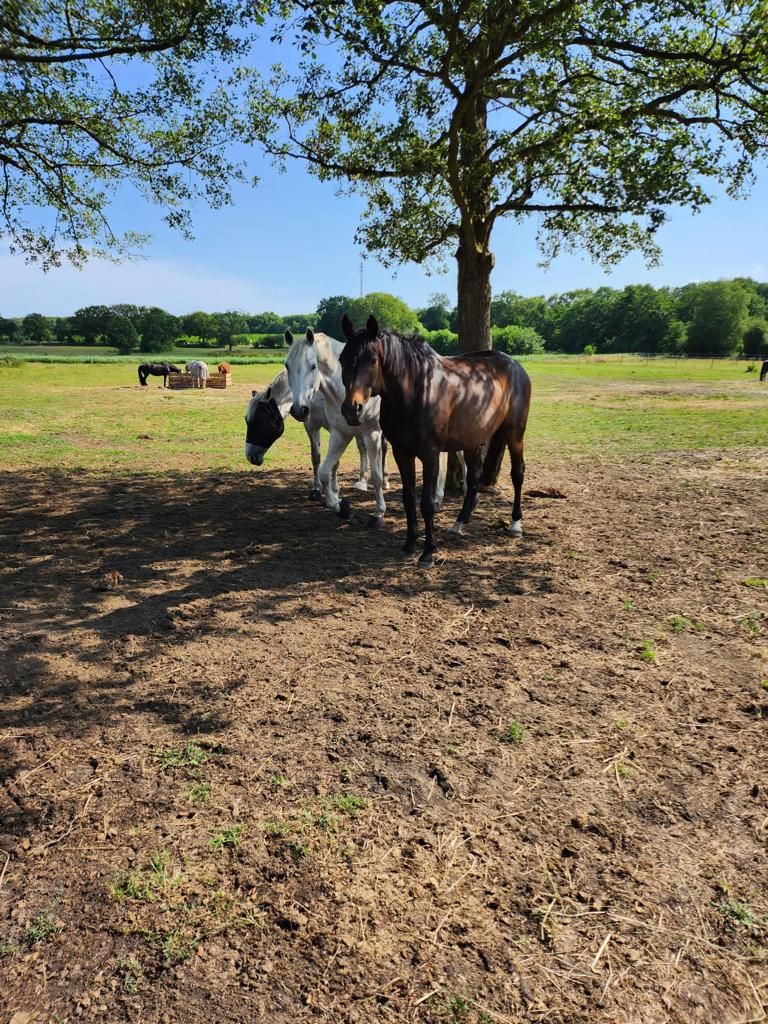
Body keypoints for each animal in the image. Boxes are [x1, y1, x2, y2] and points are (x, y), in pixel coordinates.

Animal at [241, 368, 370, 495]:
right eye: (247, 420)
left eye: (261, 420)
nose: (250, 457)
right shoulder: (311, 426)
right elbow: (315, 457)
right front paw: (316, 488)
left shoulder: (337, 429)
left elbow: (335, 460)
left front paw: (334, 489)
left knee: (363, 449)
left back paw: (362, 482)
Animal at [339, 313, 532, 569]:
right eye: (342, 359)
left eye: (372, 360)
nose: (352, 410)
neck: (415, 390)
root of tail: (515, 366)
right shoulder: (402, 453)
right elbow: (408, 498)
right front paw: (410, 544)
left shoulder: (430, 455)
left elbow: (427, 503)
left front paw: (428, 552)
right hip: (472, 441)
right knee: (472, 480)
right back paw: (460, 523)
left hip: (515, 433)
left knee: (517, 473)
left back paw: (515, 524)